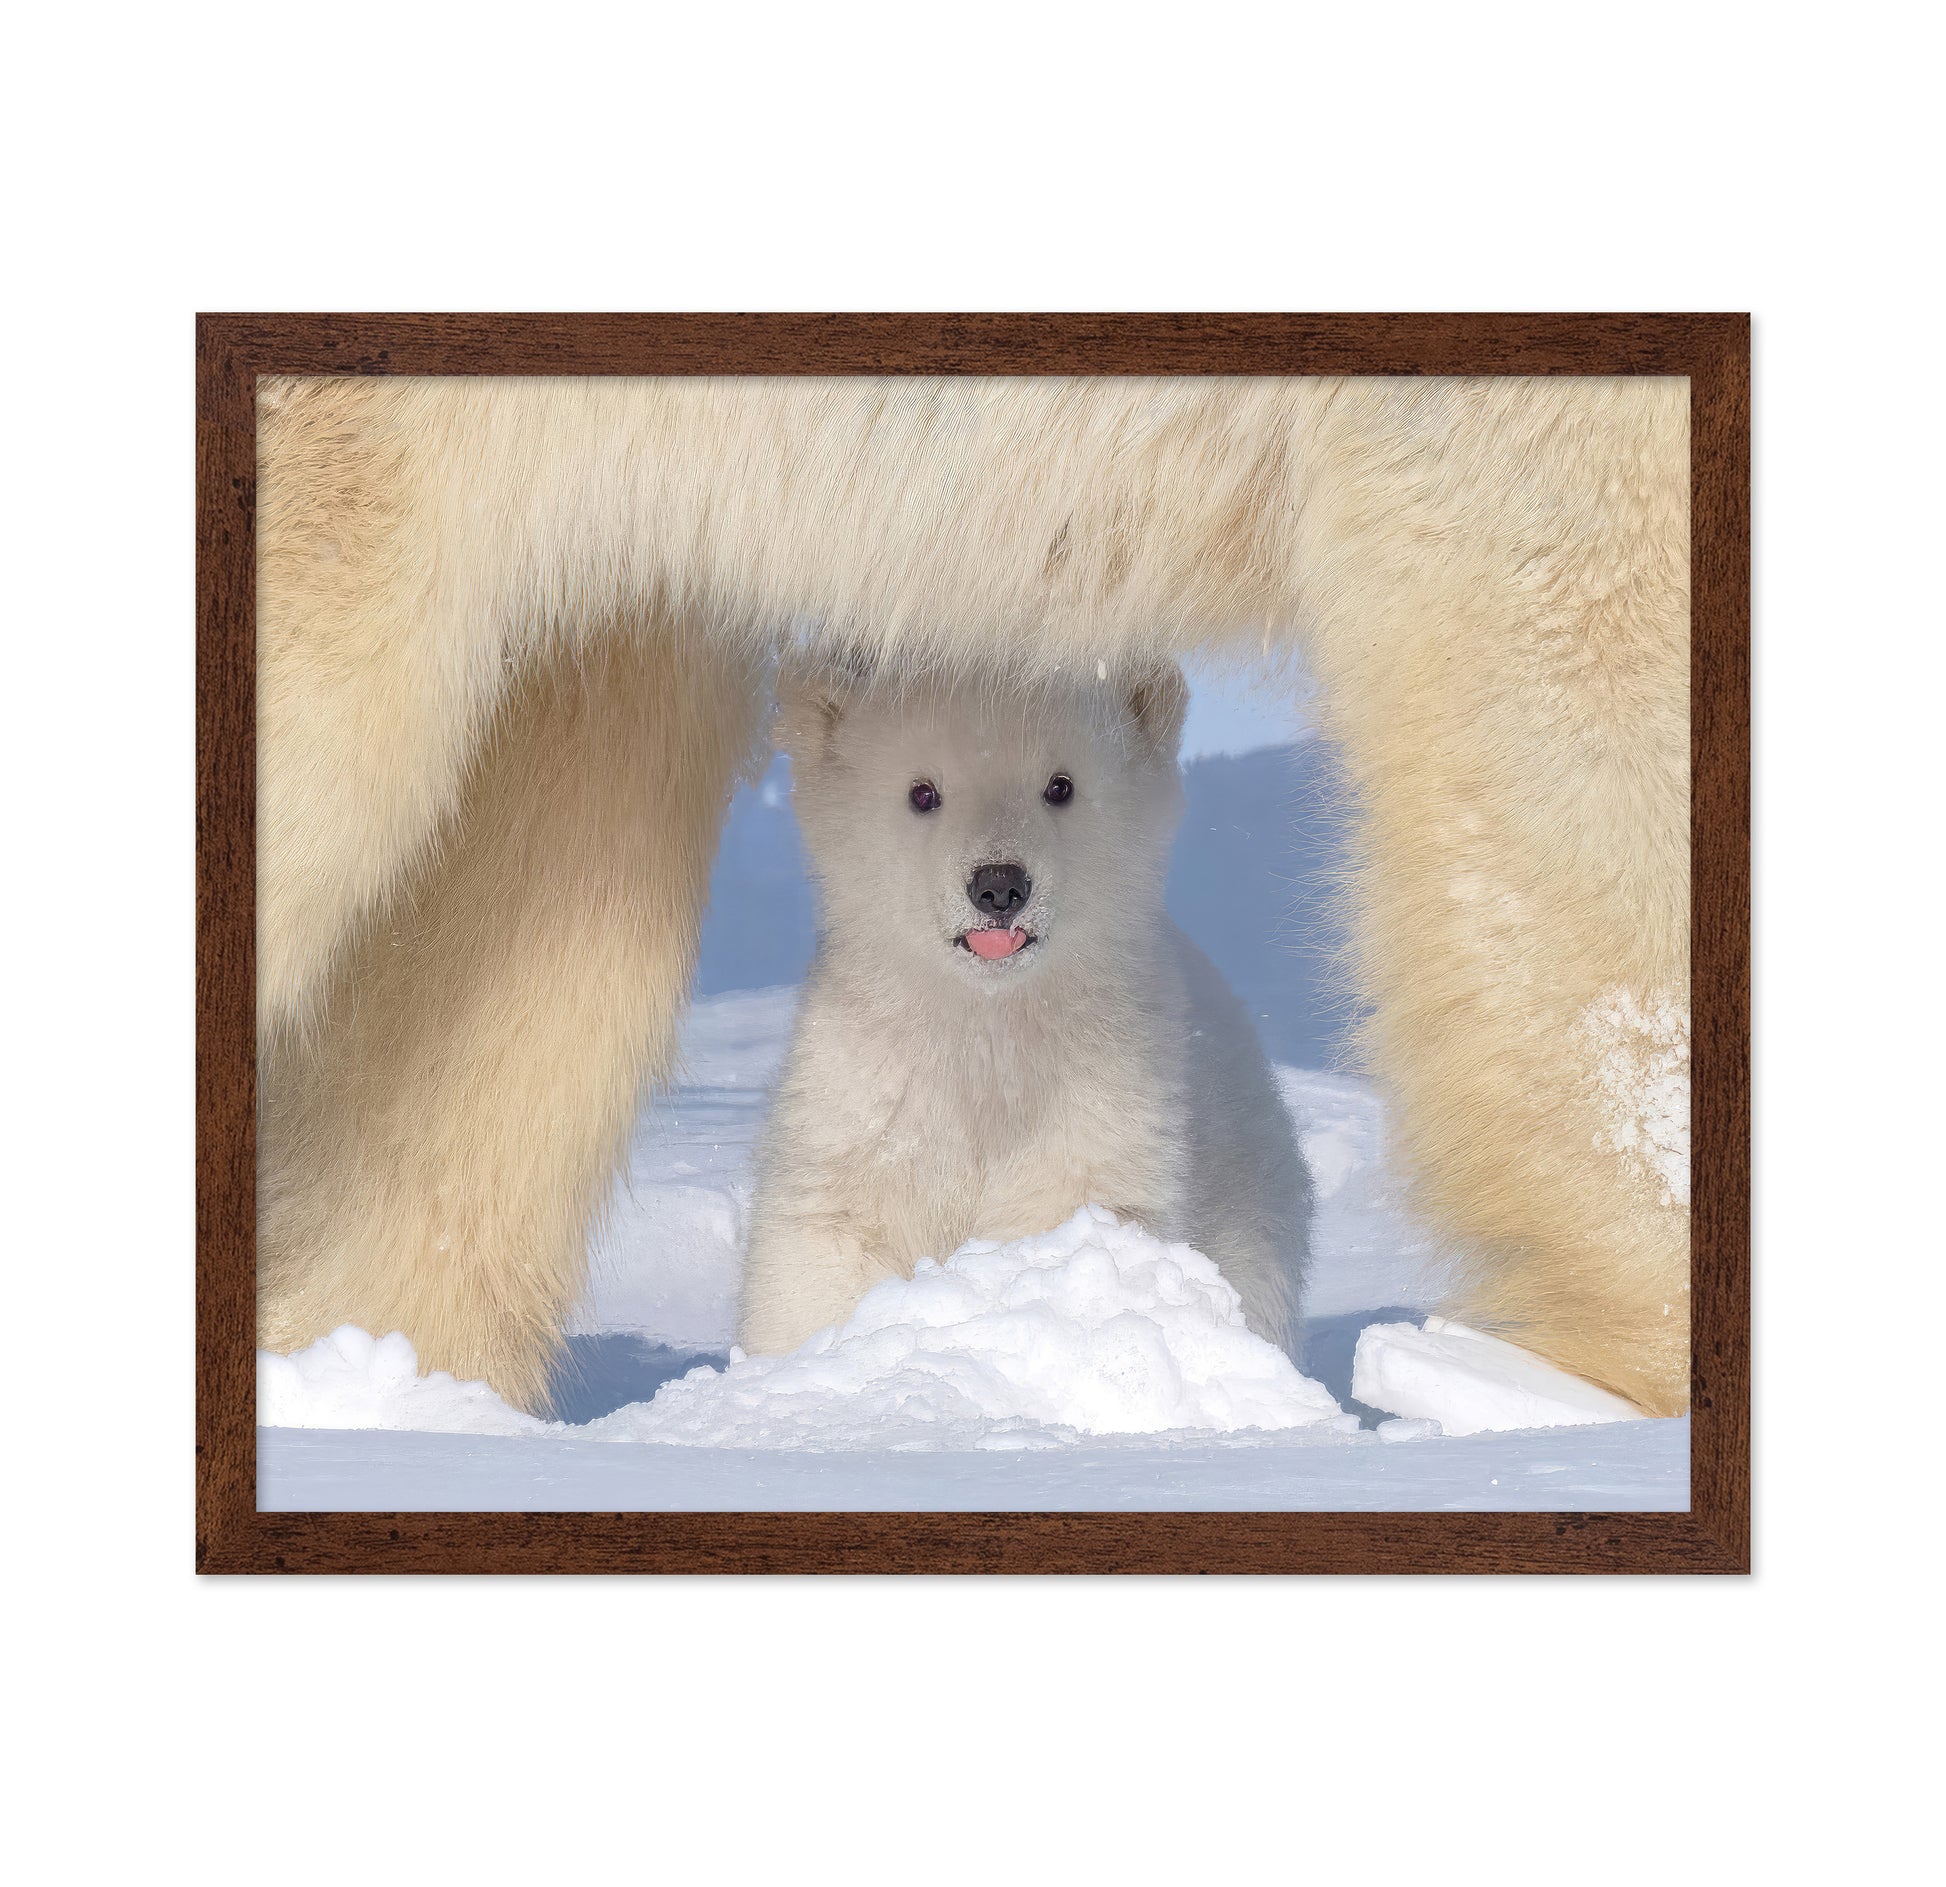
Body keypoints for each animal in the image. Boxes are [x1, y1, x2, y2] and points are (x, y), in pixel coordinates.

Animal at [737, 657, 1312, 1358]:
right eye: (922, 793)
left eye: (1060, 785)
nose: (999, 885)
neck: (988, 1024)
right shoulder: (864, 1091)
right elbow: (831, 1236)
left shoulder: (1105, 1092)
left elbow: (1065, 1211)